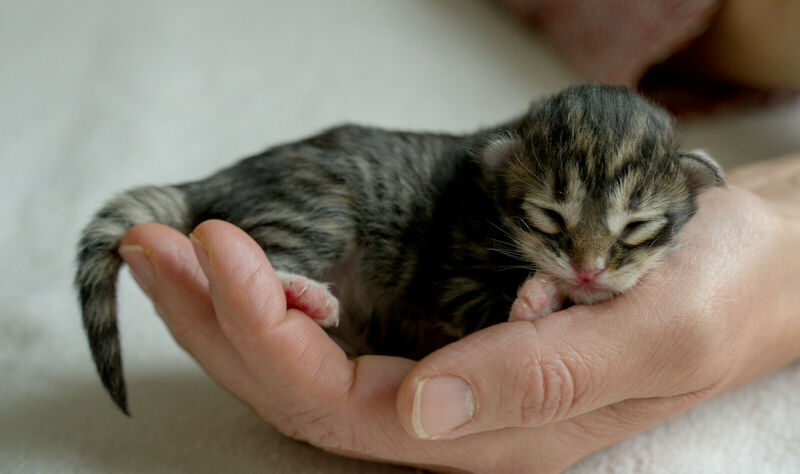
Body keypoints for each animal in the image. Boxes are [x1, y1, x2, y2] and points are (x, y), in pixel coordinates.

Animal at [75, 85, 724, 414]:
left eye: (637, 227)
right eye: (547, 217)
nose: (589, 271)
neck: (489, 202)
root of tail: (217, 180)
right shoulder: (447, 274)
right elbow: (488, 301)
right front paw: (541, 296)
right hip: (316, 209)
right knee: (269, 249)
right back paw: (306, 295)